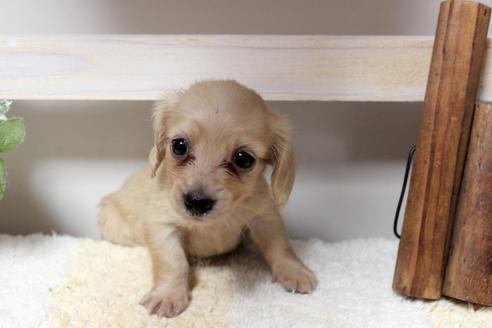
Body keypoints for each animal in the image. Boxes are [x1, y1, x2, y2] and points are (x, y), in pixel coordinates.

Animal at [98, 80, 318, 318]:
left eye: (244, 159)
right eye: (179, 145)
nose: (197, 202)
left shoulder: (264, 217)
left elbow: (279, 246)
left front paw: (294, 271)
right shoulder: (162, 225)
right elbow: (173, 261)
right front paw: (168, 295)